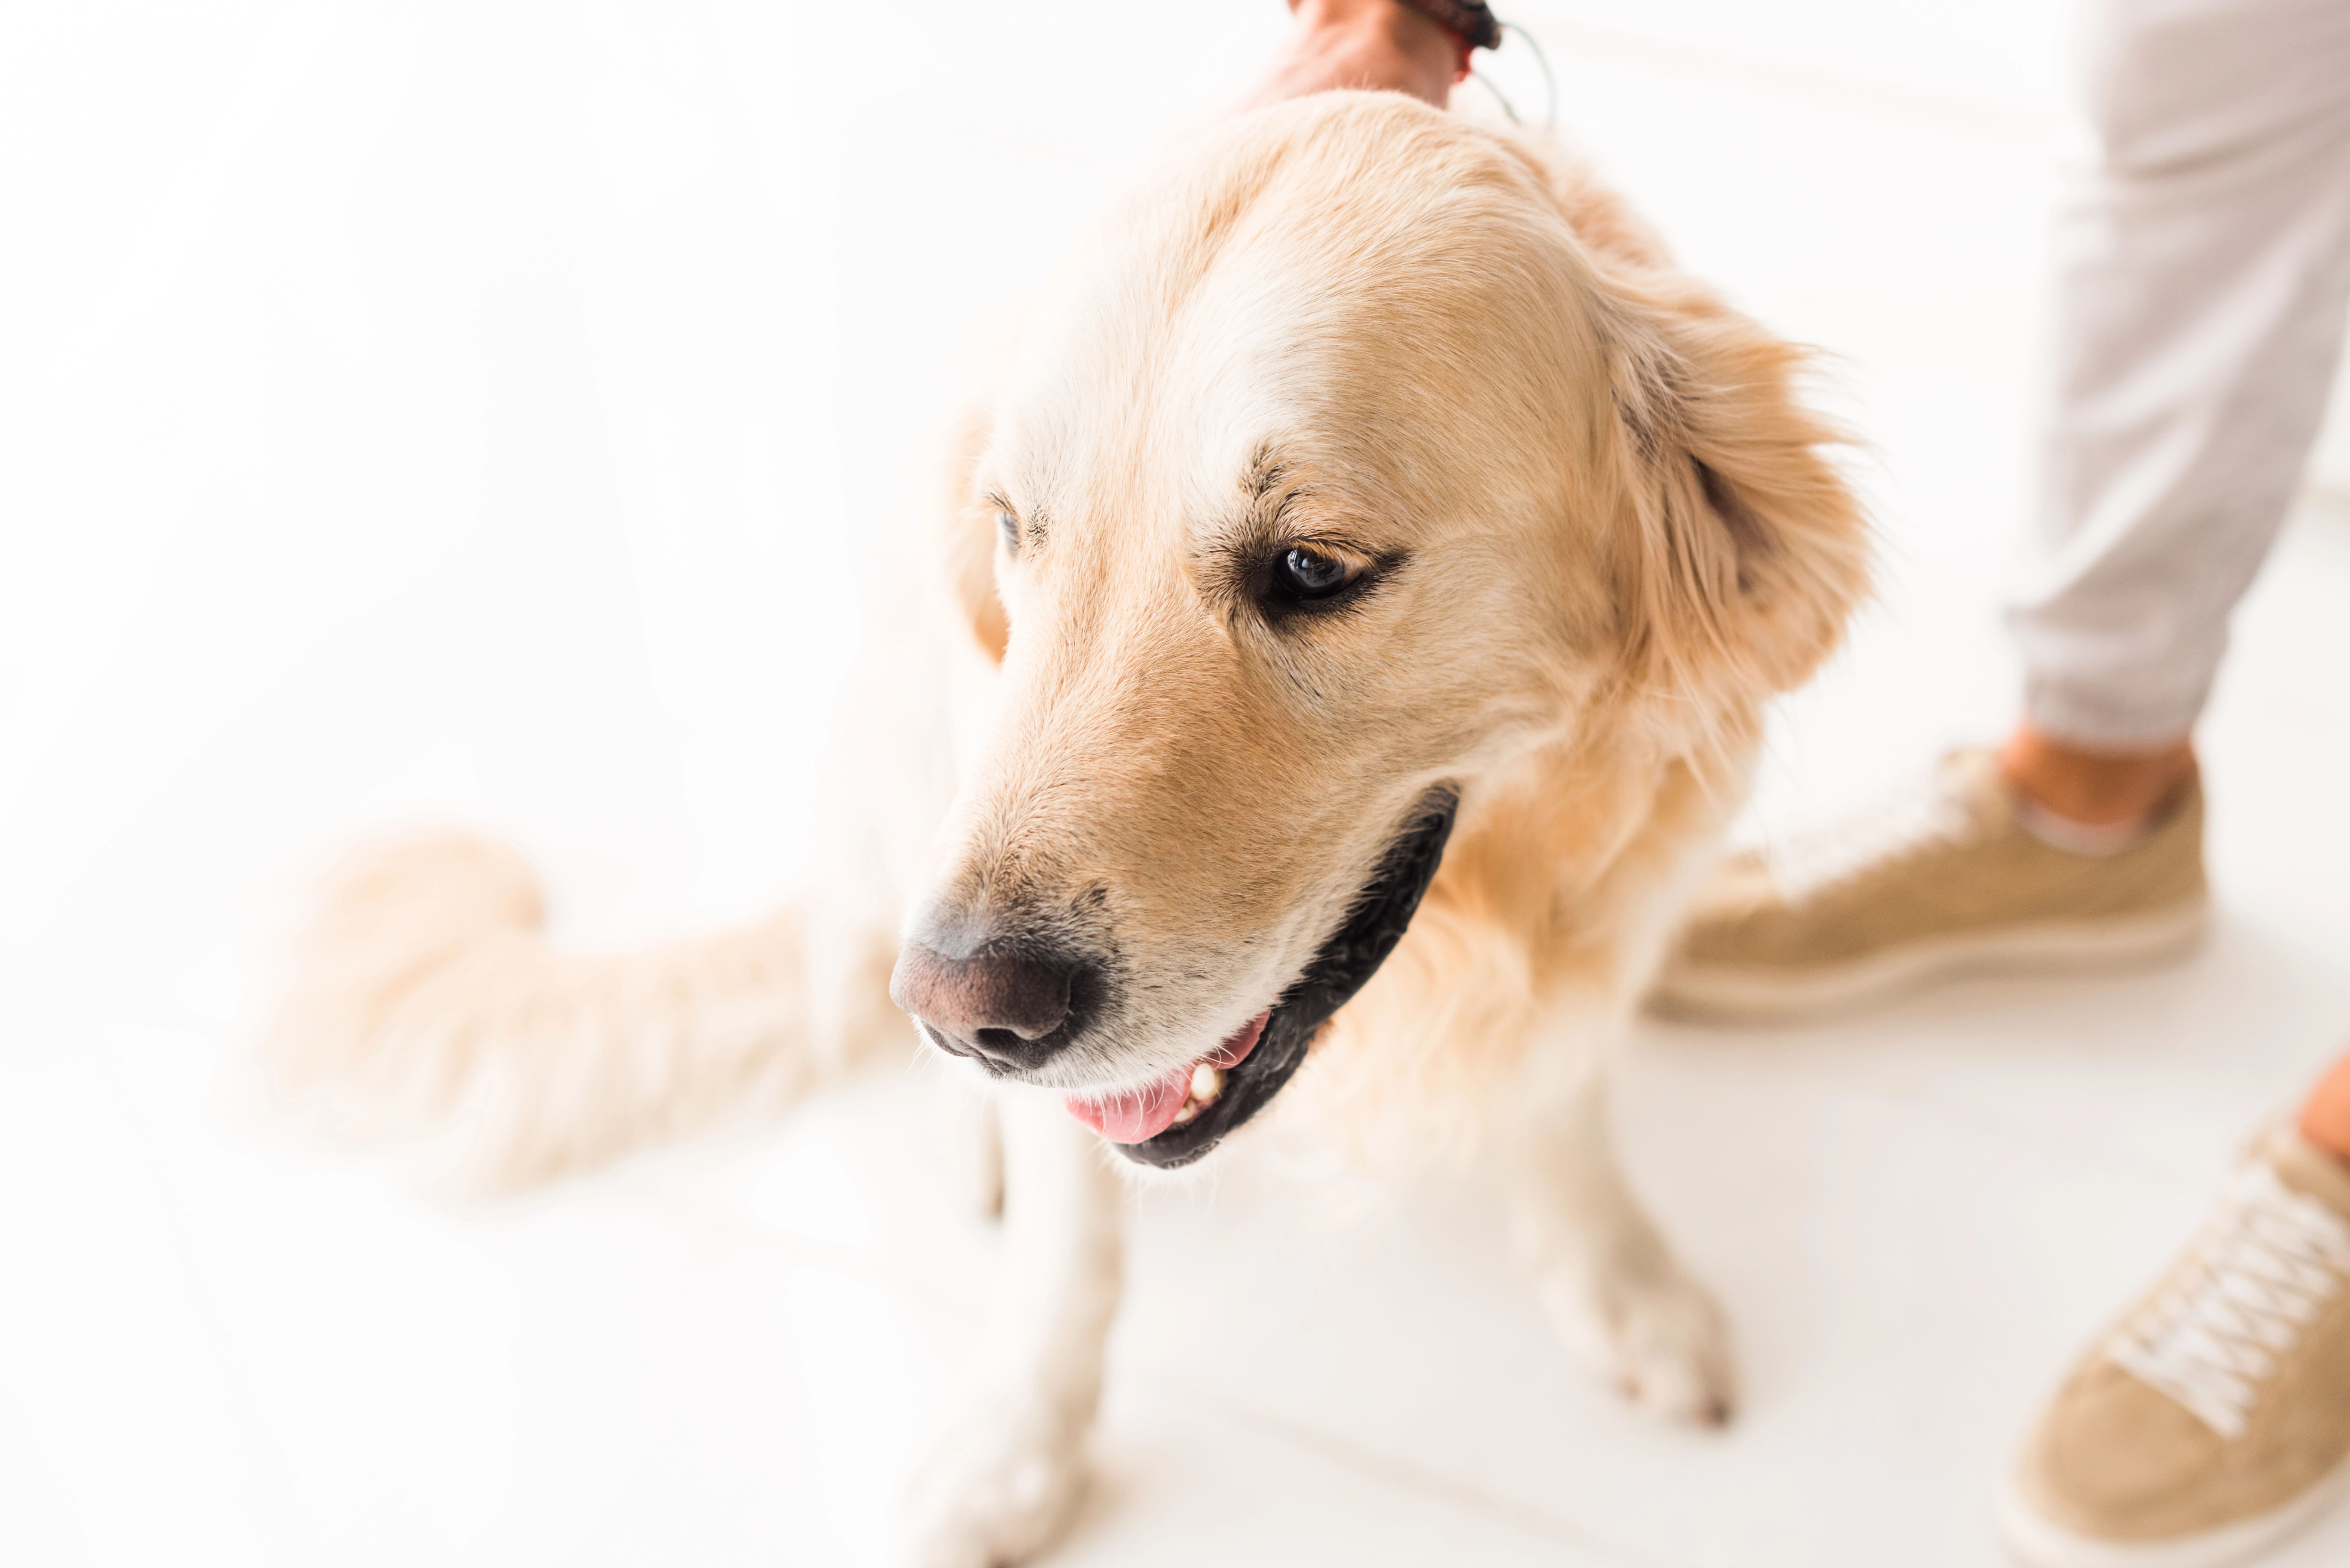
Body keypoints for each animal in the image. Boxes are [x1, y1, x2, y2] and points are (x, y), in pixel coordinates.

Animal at [262, 92, 1870, 1561]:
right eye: (1014, 533)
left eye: (1312, 566)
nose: (963, 1010)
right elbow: (1065, 1250)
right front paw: (1015, 1444)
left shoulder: (1624, 893)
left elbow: (1561, 1098)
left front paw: (1618, 1278)